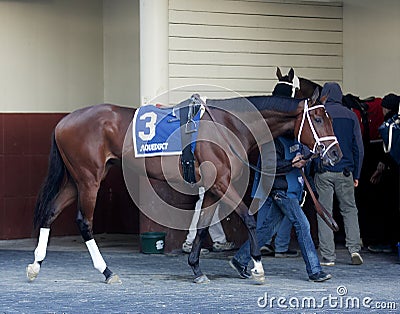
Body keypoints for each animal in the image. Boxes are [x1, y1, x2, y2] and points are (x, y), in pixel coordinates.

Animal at [26, 89, 342, 284]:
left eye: (328, 117)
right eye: (317, 118)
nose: (336, 154)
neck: (229, 125)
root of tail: (63, 122)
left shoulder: (213, 187)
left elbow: (202, 226)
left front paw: (196, 268)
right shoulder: (223, 183)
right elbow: (249, 219)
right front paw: (257, 267)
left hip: (75, 179)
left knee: (50, 213)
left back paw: (36, 264)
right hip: (89, 178)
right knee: (84, 221)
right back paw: (106, 271)